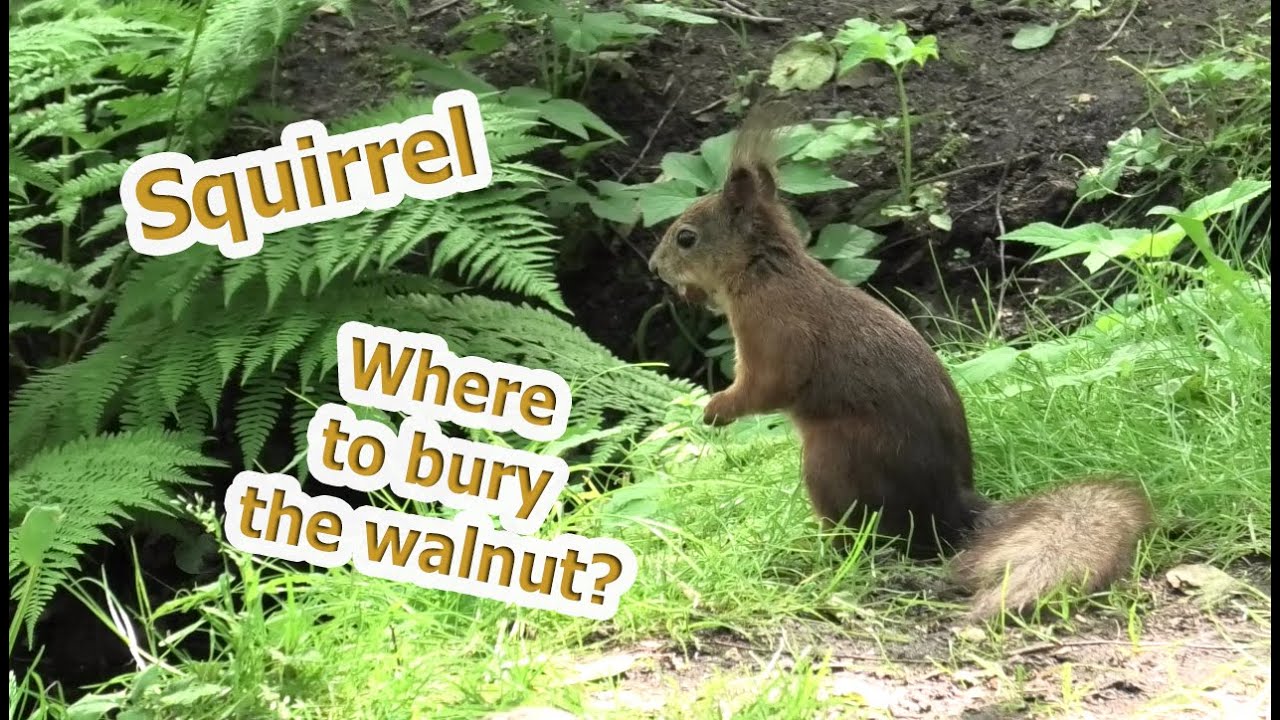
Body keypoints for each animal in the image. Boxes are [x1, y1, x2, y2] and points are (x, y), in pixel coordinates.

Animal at [646, 106, 1155, 619]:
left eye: (686, 238)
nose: (654, 268)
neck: (764, 273)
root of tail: (949, 511)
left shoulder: (774, 333)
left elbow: (769, 386)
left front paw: (715, 410)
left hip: (832, 460)